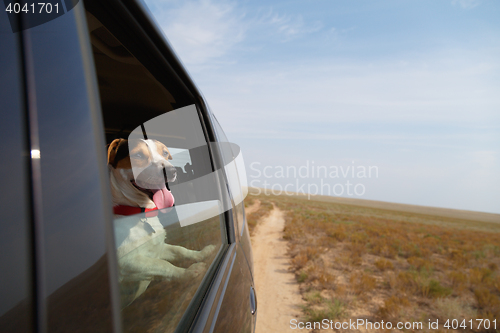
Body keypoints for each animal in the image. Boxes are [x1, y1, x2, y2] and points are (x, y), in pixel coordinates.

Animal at [107, 137, 215, 306]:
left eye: (164, 153)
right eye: (137, 155)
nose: (171, 171)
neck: (140, 215)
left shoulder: (158, 249)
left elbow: (180, 250)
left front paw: (200, 254)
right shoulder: (127, 263)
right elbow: (163, 266)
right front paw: (188, 273)